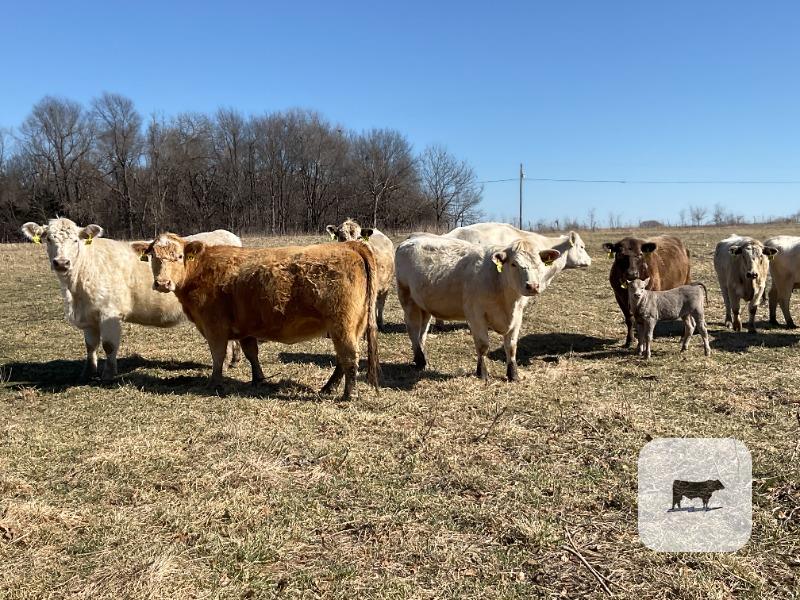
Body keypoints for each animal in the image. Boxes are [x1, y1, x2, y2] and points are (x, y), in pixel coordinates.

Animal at [21, 218, 242, 382]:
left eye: (76, 240)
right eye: (48, 239)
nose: (61, 262)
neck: (75, 291)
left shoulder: (109, 313)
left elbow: (108, 345)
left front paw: (108, 374)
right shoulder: (89, 316)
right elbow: (90, 346)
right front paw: (88, 372)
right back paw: (233, 360)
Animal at [140, 234, 379, 401]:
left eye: (179, 256)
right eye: (153, 257)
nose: (162, 283)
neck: (200, 270)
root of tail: (350, 246)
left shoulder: (214, 326)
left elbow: (218, 356)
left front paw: (214, 383)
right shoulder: (245, 327)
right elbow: (251, 354)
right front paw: (258, 379)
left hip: (342, 324)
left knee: (349, 357)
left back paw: (348, 395)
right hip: (352, 326)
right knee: (342, 359)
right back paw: (328, 388)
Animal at [395, 234, 560, 381]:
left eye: (539, 263)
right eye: (514, 264)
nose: (532, 286)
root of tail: (408, 241)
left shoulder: (517, 316)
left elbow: (511, 346)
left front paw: (513, 374)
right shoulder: (475, 315)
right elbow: (483, 345)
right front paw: (482, 373)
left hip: (424, 305)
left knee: (422, 331)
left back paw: (422, 357)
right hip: (407, 299)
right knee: (413, 328)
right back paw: (419, 360)